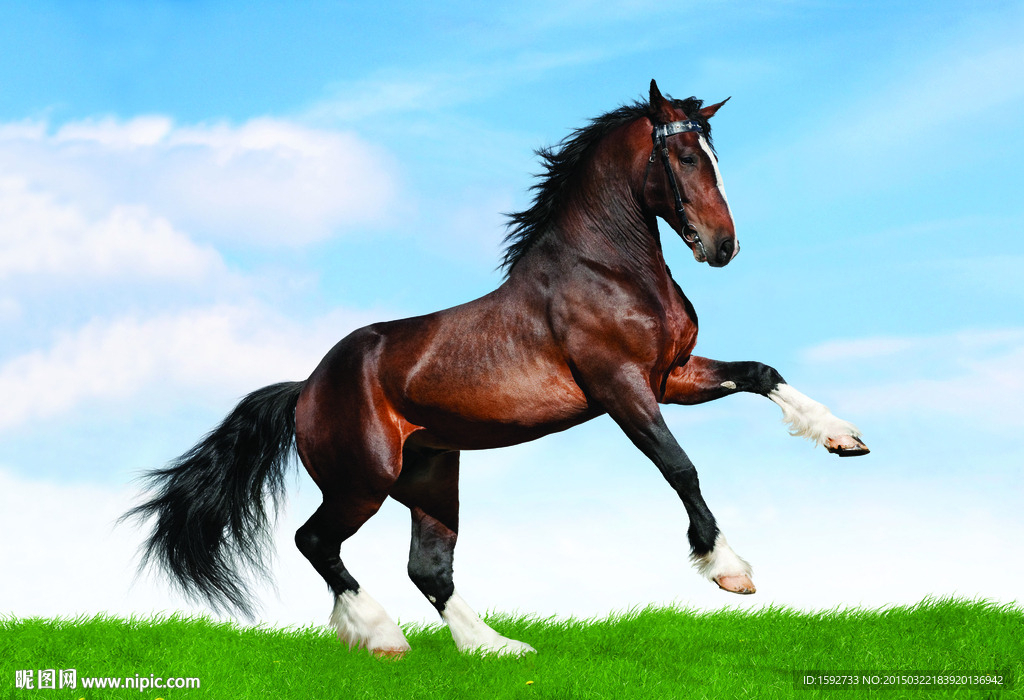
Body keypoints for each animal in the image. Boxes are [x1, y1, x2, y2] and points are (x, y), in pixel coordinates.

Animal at [124, 80, 868, 657]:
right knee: (316, 542)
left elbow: (761, 373)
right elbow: (680, 467)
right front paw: (730, 570)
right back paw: (381, 636)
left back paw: (495, 647)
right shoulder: (623, 387)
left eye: (715, 154)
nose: (722, 246)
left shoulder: (672, 376)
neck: (609, 270)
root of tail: (306, 388)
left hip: (431, 476)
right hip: (364, 481)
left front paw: (844, 439)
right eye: (685, 155)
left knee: (428, 568)